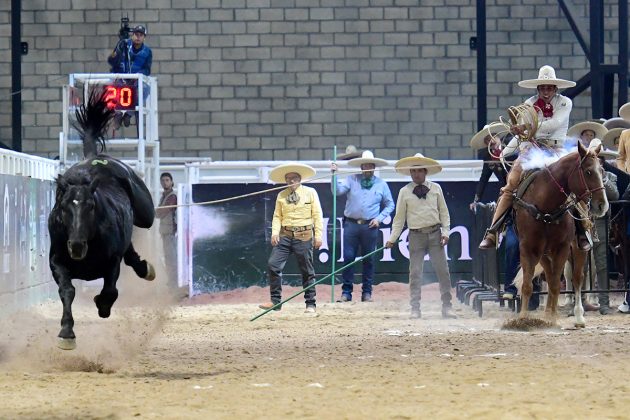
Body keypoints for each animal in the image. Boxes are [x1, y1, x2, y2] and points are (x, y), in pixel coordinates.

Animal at [48, 89, 157, 352]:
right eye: (63, 207)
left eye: (91, 207)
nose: (77, 246)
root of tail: (95, 156)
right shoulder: (57, 262)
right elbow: (67, 290)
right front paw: (67, 332)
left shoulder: (111, 263)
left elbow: (110, 290)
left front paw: (101, 304)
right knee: (130, 250)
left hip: (146, 214)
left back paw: (144, 268)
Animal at [512, 142, 612, 328]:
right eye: (588, 172)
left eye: (602, 171)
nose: (603, 205)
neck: (546, 205)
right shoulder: (528, 247)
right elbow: (528, 285)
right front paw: (522, 318)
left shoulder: (562, 248)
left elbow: (556, 285)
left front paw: (553, 318)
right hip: (544, 254)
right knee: (551, 275)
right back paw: (546, 313)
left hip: (578, 249)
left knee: (577, 278)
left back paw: (578, 316)